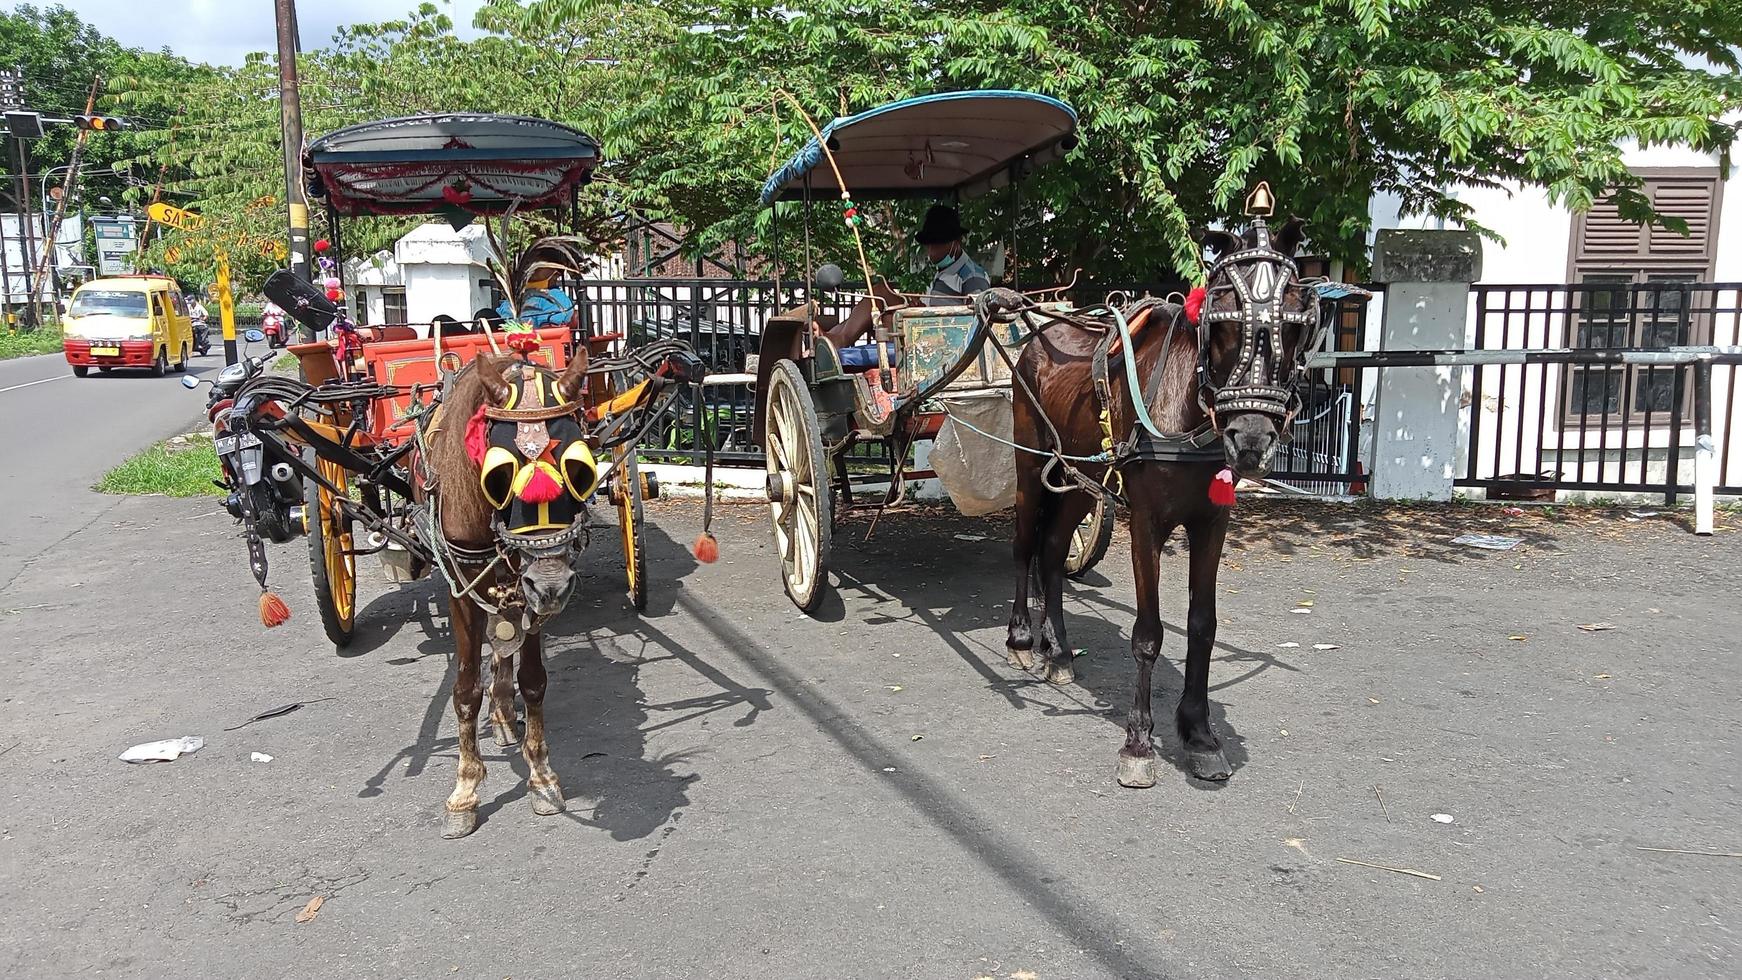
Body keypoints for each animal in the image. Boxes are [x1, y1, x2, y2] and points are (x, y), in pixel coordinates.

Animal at [1010, 214, 1316, 790]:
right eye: (1221, 318)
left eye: (1293, 322)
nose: (1251, 438)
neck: (1187, 410)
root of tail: (1040, 335)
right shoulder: (1146, 523)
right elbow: (1148, 632)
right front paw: (1138, 740)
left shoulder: (1212, 522)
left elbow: (1202, 625)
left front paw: (1198, 733)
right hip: (1029, 467)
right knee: (1022, 546)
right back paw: (1020, 637)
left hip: (1081, 482)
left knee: (1054, 550)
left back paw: (1058, 651)